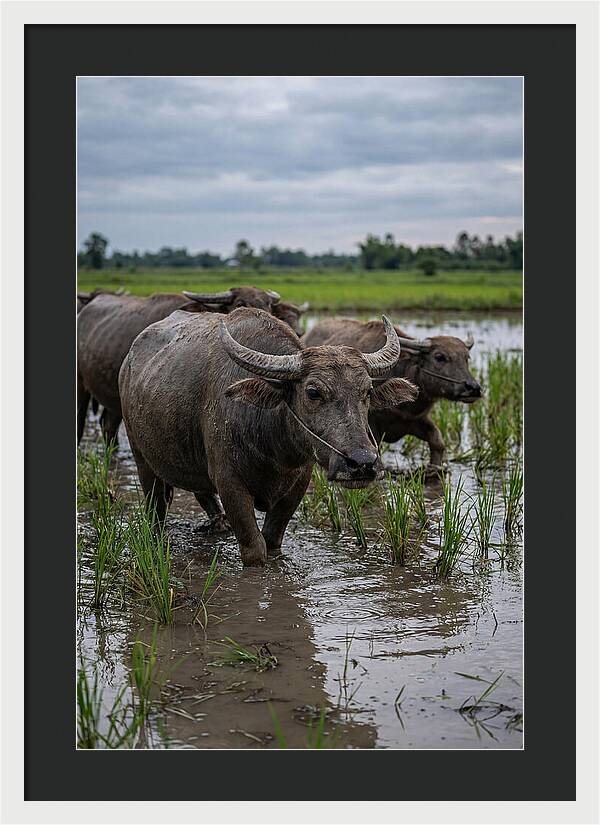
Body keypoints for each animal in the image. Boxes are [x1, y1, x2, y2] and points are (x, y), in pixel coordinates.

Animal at [119, 308, 417, 566]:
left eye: (367, 391)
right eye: (313, 392)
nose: (362, 463)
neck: (273, 447)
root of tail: (128, 362)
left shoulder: (298, 485)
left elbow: (272, 541)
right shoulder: (230, 483)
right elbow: (255, 550)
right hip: (141, 456)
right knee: (156, 507)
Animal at [303, 318, 481, 470]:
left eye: (466, 357)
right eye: (440, 357)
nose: (473, 388)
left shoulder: (416, 420)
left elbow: (437, 441)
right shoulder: (371, 427)